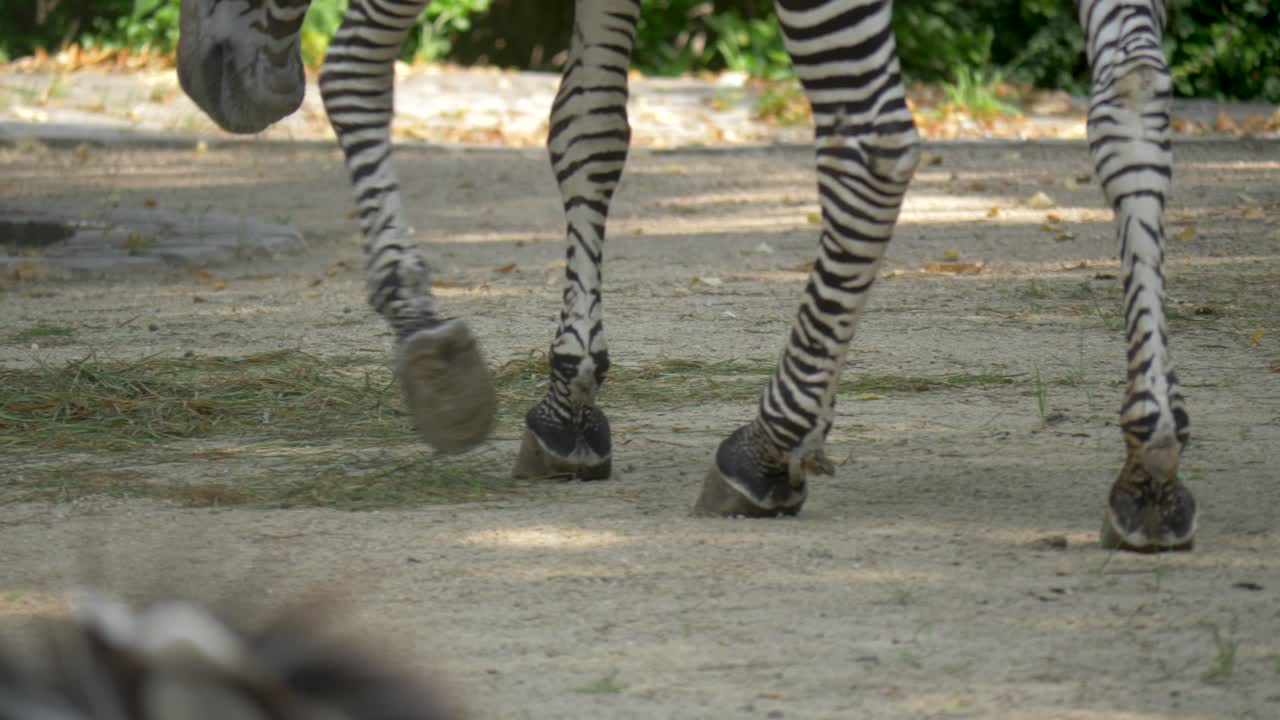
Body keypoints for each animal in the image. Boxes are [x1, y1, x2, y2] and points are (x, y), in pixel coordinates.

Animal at [175, 0, 1195, 552]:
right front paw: (573, 394)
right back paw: (1152, 451)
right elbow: (588, 125)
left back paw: (765, 446)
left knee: (869, 140)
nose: (207, 82)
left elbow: (356, 67)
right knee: (1134, 98)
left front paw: (429, 338)